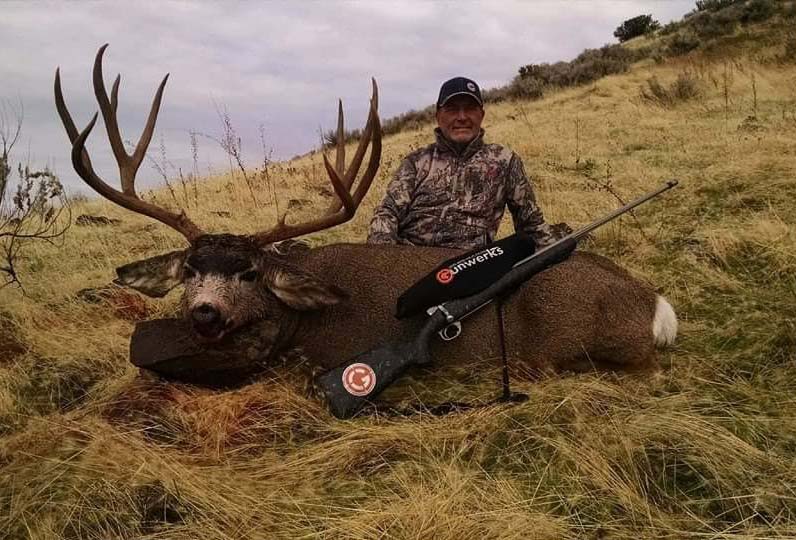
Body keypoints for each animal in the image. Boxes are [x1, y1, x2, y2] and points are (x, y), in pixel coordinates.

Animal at [55, 45, 677, 398]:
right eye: (189, 271)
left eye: (250, 274)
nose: (205, 313)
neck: (295, 322)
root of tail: (654, 305)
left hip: (587, 350)